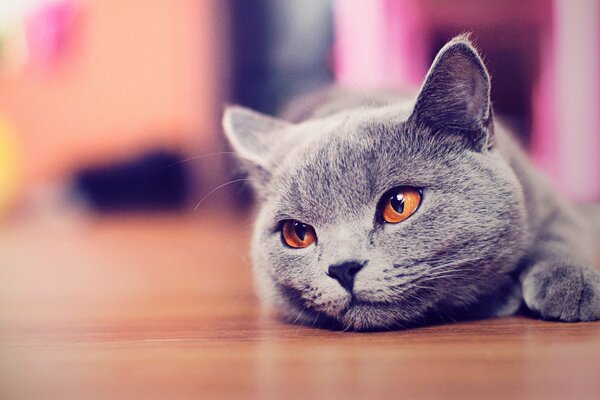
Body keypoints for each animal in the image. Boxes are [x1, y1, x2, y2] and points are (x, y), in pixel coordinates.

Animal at [221, 34, 600, 330]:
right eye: (297, 233)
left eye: (399, 205)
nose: (343, 268)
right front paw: (503, 297)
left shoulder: (546, 196)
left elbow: (562, 233)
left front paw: (572, 284)